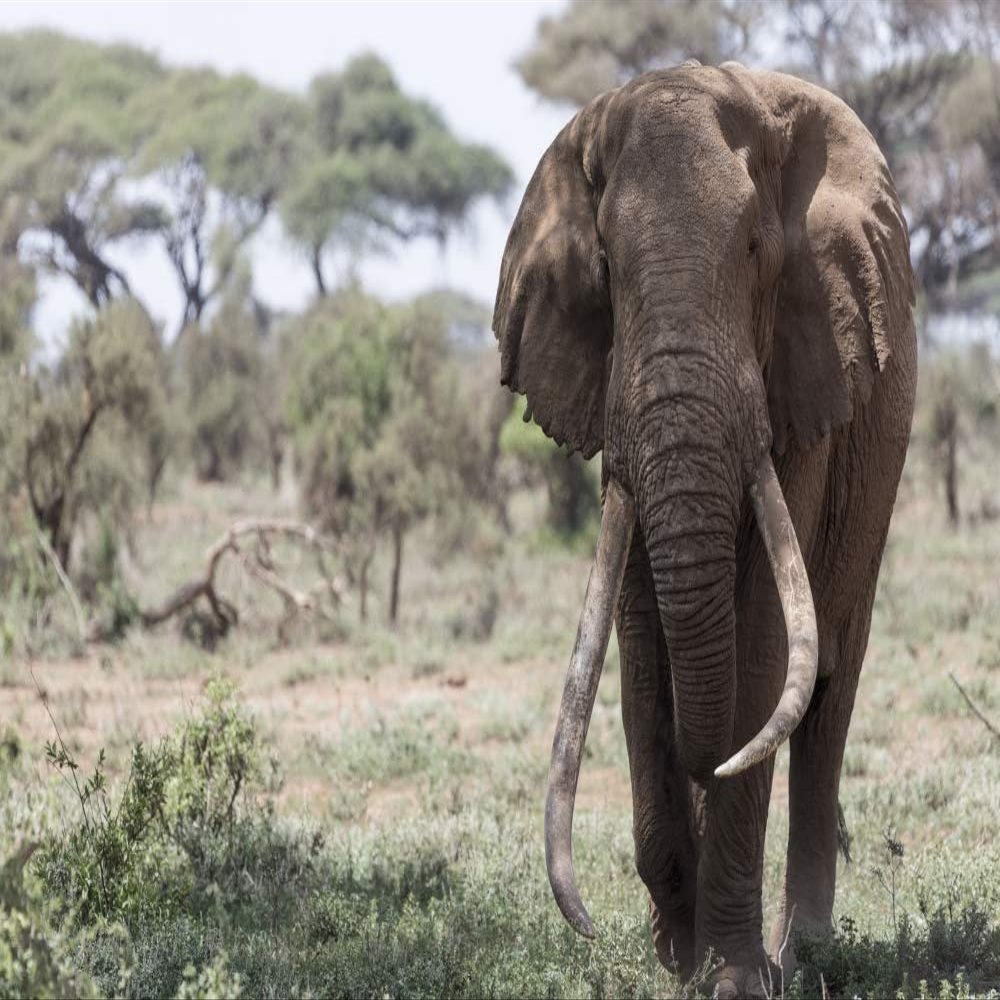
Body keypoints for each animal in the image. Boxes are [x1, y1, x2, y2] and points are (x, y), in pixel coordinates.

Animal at [492, 62, 916, 997]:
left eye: (757, 251)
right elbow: (640, 643)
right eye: (606, 267)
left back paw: (808, 952)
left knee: (829, 694)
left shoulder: (803, 368)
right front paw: (677, 965)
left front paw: (733, 979)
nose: (589, 927)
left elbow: (759, 641)